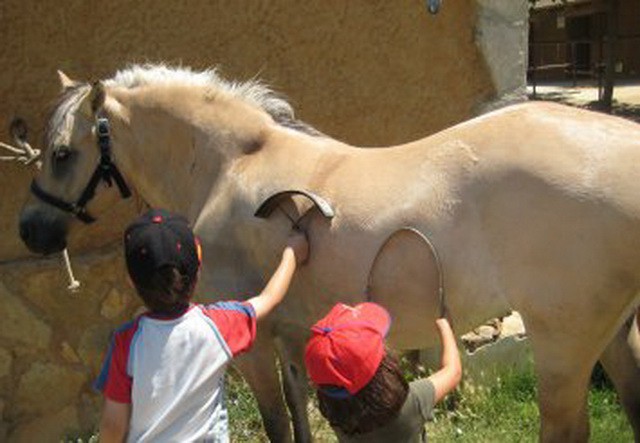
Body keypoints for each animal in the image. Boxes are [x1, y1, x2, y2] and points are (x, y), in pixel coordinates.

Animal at [17, 64, 640, 442]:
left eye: (63, 153)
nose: (30, 231)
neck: (230, 164)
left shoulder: (250, 341)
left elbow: (275, 420)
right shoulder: (293, 331)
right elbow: (299, 413)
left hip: (564, 348)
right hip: (613, 336)